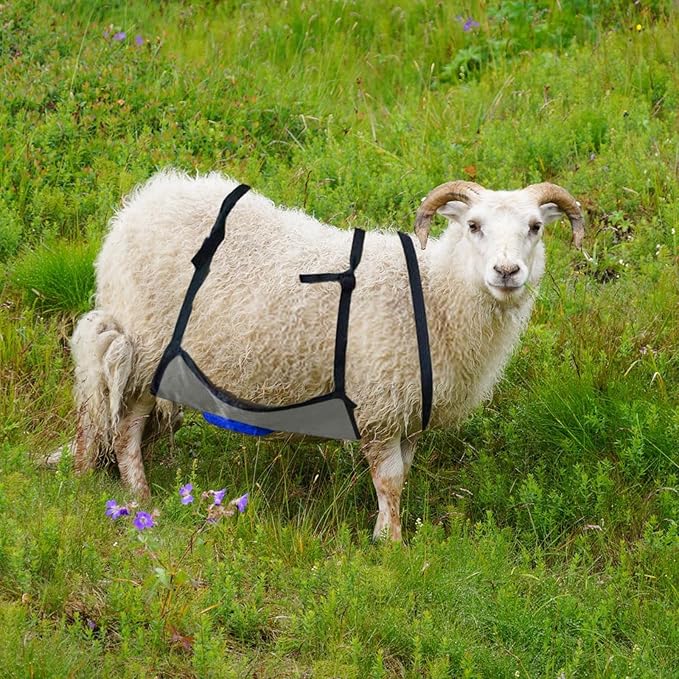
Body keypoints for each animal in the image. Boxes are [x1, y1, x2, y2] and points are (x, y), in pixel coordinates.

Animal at [70, 170, 584, 540]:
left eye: (535, 228)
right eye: (474, 226)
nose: (507, 271)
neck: (435, 296)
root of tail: (140, 203)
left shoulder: (409, 411)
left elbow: (401, 477)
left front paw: (383, 534)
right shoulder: (379, 405)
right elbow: (390, 480)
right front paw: (392, 547)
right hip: (144, 347)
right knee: (123, 425)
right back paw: (139, 499)